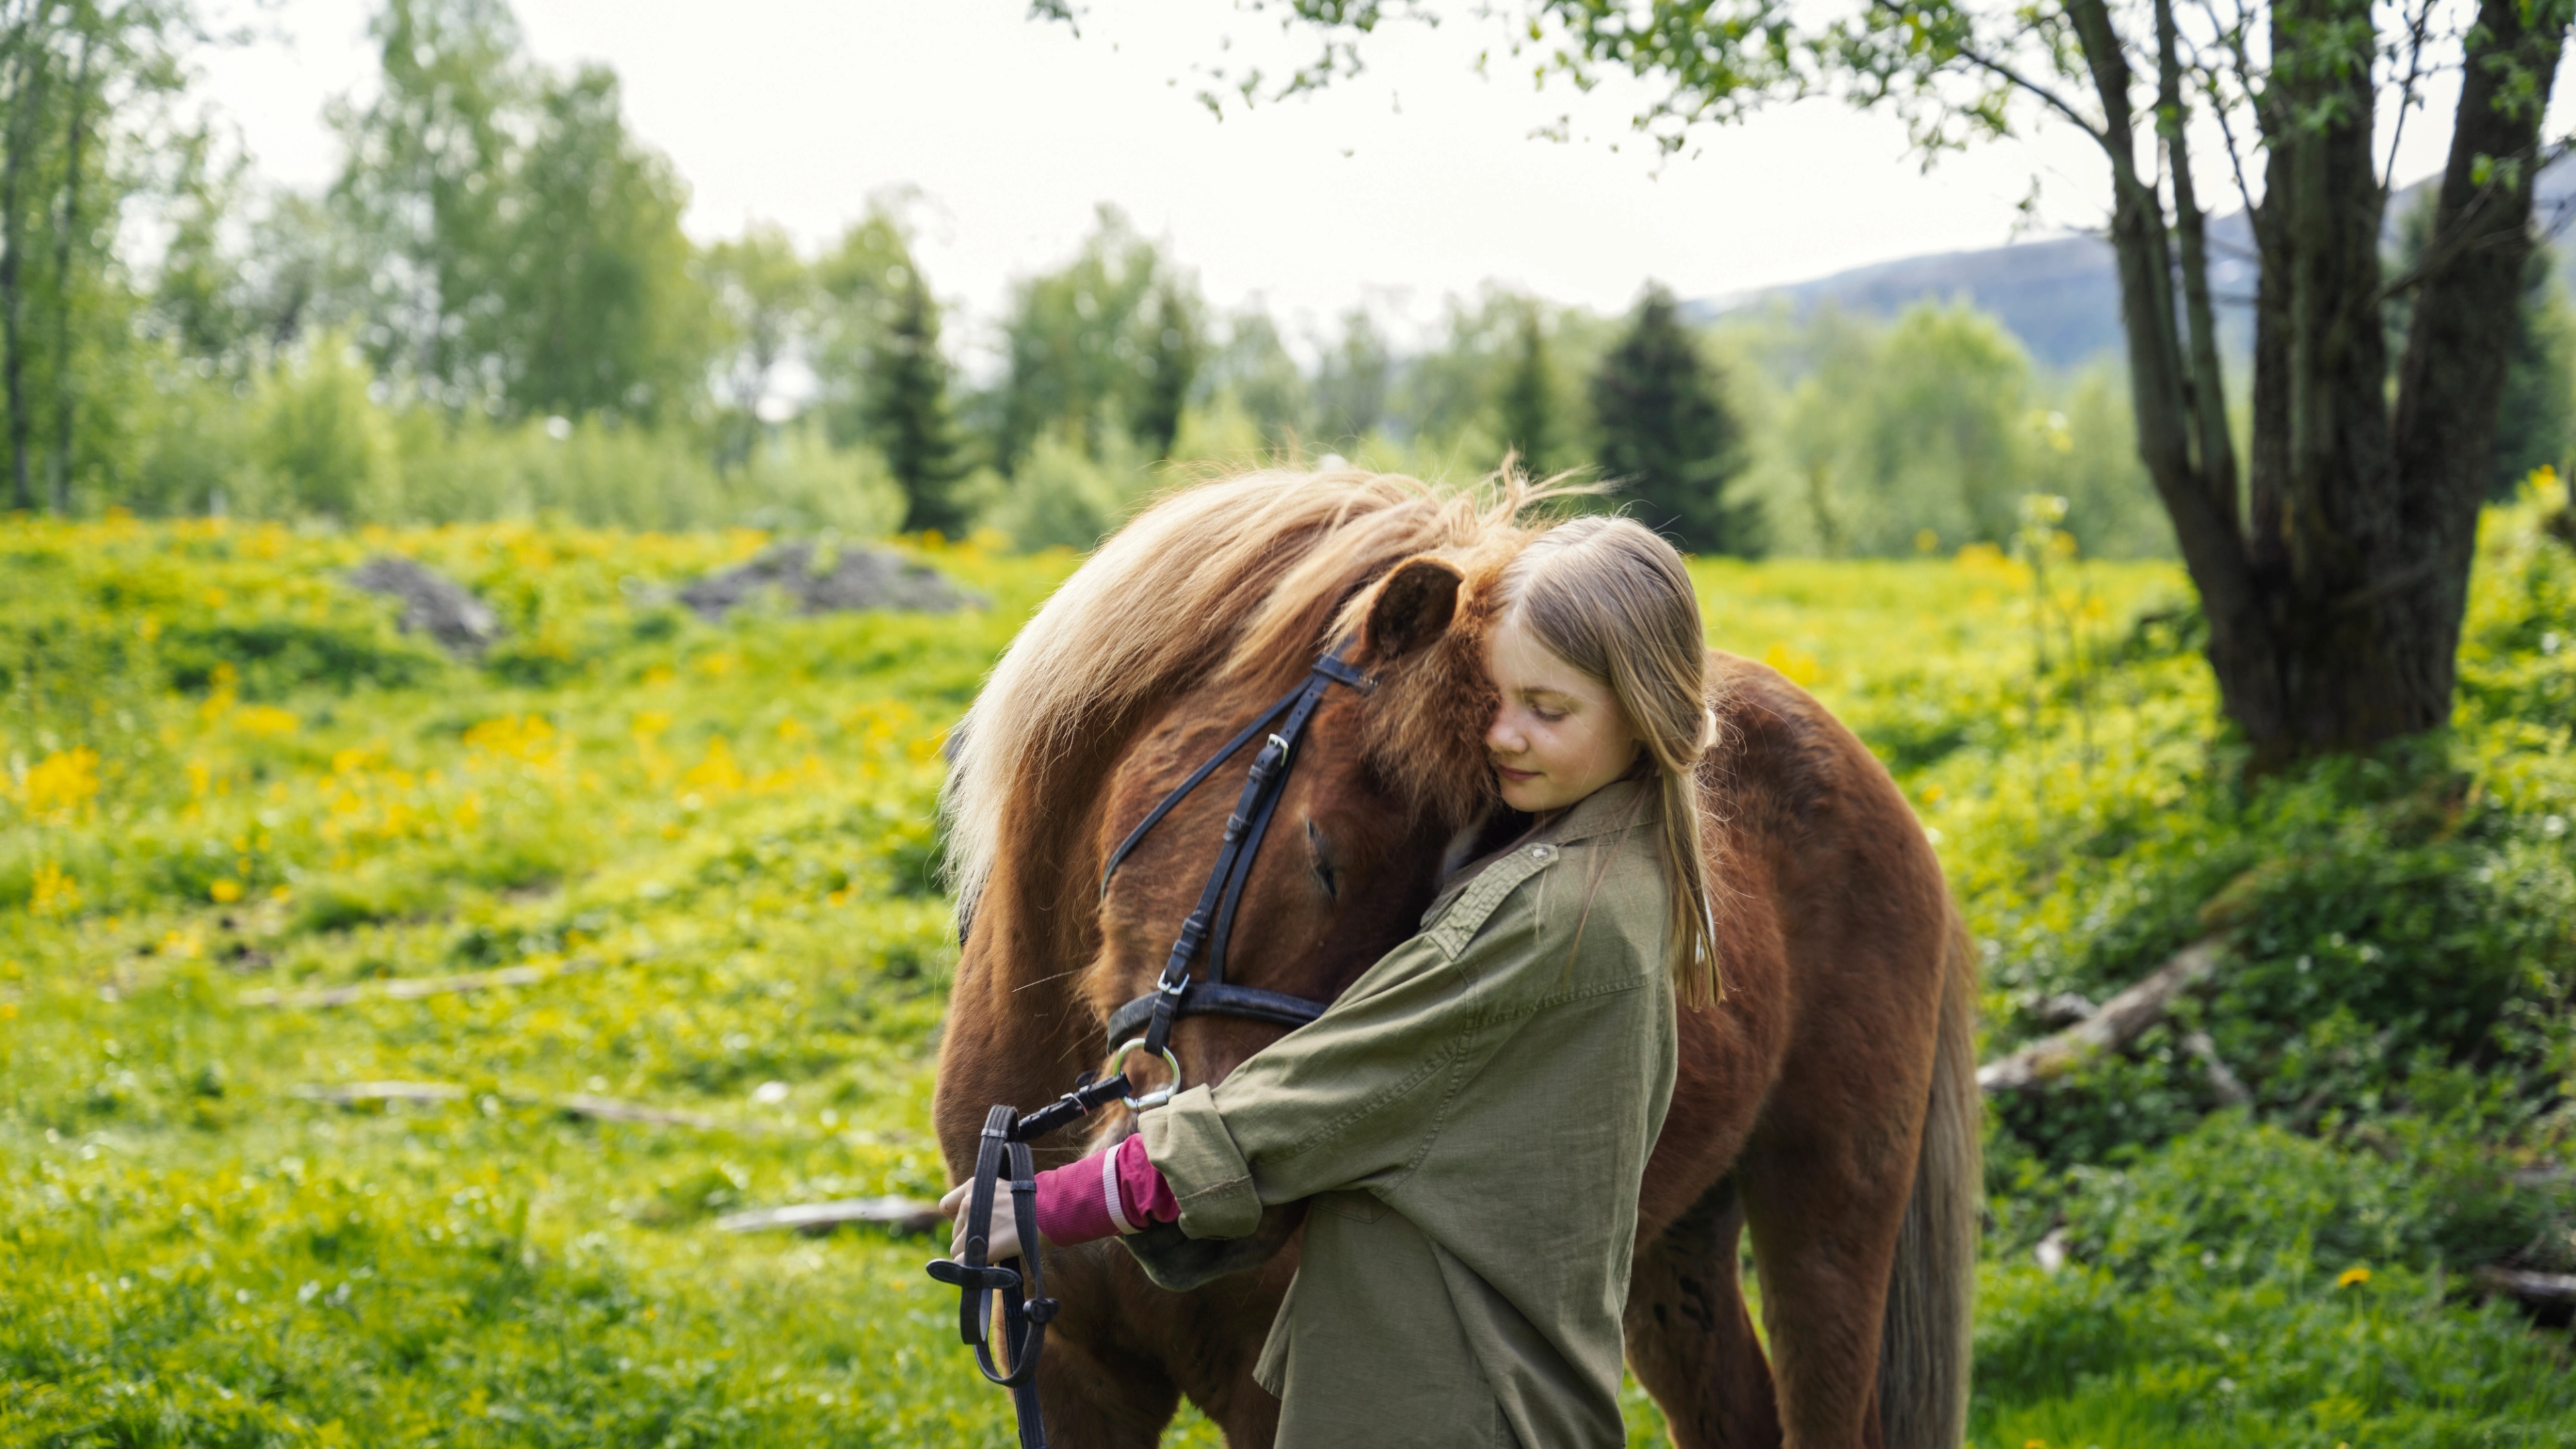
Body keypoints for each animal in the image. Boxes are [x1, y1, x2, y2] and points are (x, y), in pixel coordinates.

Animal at [935, 470, 1979, 1448]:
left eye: (1450, 871)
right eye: (1323, 856)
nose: (1221, 1225)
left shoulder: (1273, 1386)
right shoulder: (1068, 1375)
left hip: (1830, 1206)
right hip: (1670, 1246)